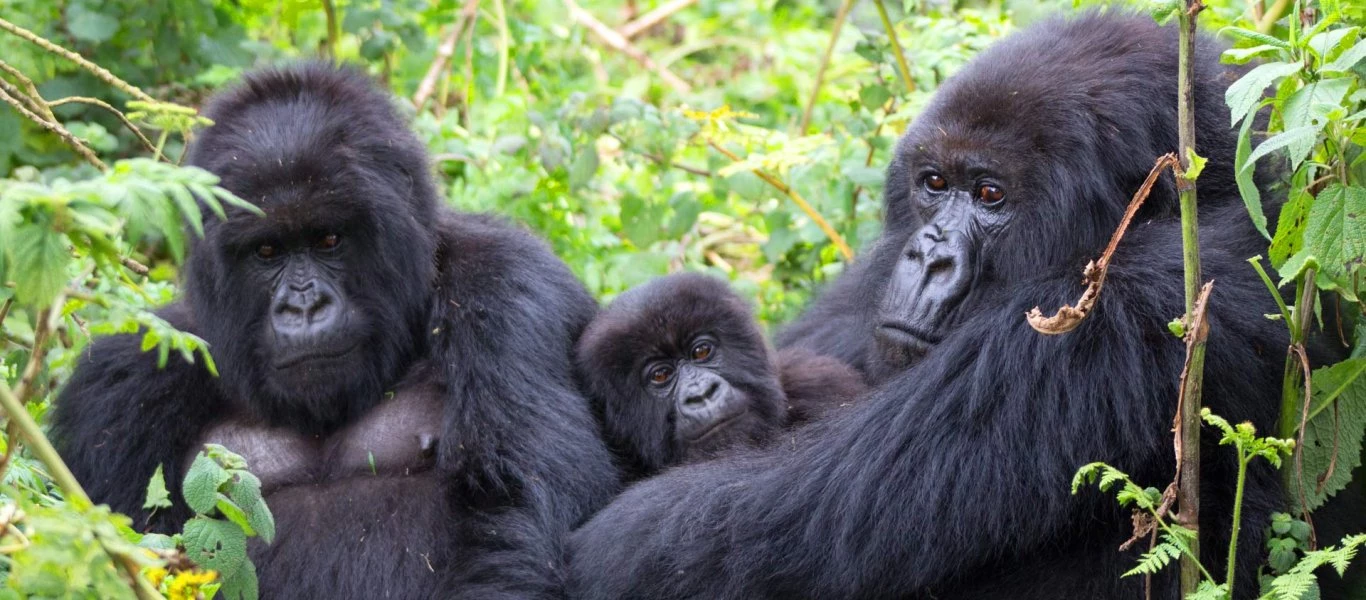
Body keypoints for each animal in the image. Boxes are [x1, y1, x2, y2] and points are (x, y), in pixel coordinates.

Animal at [51, 63, 620, 598]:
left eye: (329, 239)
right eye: (266, 251)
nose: (304, 306)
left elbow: (516, 513)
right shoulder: (122, 382)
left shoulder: (508, 288)